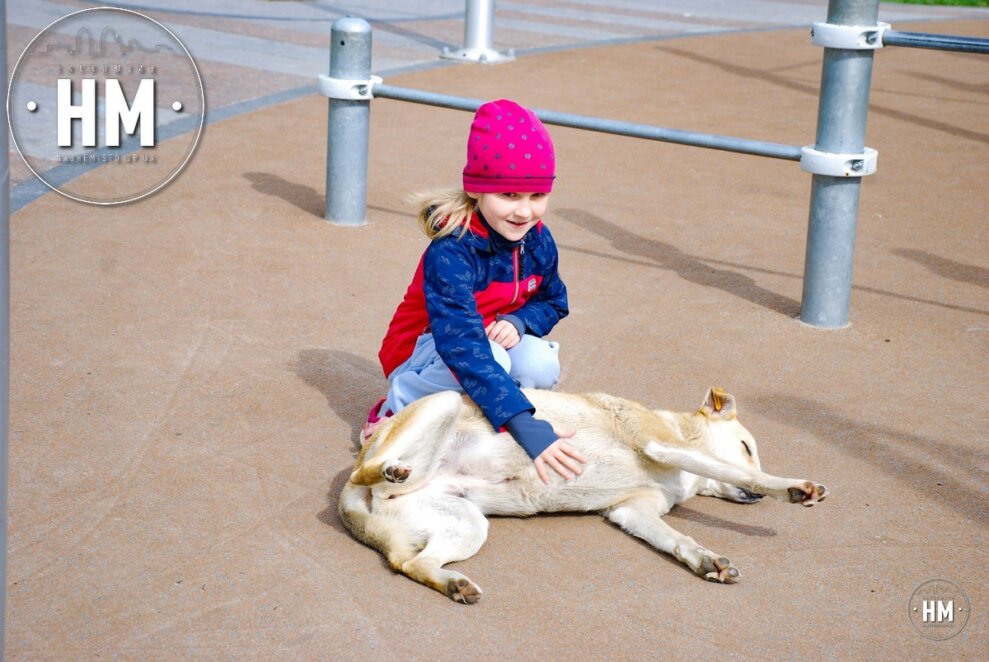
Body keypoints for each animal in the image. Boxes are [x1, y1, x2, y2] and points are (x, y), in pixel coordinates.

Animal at [340, 390, 824, 608]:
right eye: (747, 446)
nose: (755, 500)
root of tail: (351, 497)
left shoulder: (632, 511)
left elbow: (678, 541)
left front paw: (709, 561)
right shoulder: (662, 445)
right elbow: (736, 472)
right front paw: (792, 487)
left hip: (467, 525)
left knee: (413, 564)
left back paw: (453, 584)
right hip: (442, 403)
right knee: (374, 471)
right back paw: (390, 468)